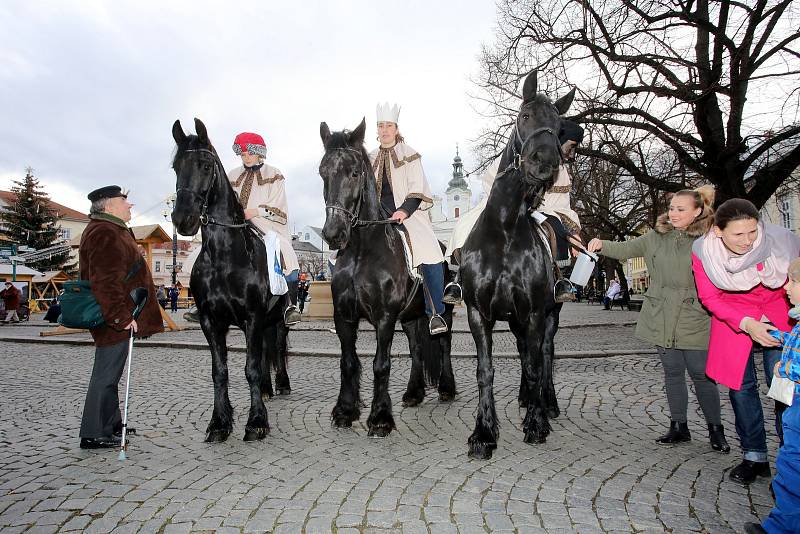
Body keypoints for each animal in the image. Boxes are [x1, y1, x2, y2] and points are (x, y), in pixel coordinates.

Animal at [170, 119, 292, 446]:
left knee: (277, 348)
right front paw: (219, 423)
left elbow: (250, 368)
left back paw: (281, 384)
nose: (182, 219)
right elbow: (220, 371)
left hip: (276, 319)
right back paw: (266, 389)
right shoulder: (212, 321)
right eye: (176, 166)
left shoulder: (252, 318)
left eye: (205, 165)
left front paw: (256, 422)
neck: (225, 256)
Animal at [318, 119, 456, 438]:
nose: (333, 234)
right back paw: (414, 393)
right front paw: (345, 410)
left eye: (354, 172)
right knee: (417, 348)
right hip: (411, 316)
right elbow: (348, 361)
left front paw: (380, 417)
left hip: (443, 311)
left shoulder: (384, 317)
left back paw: (446, 388)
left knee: (443, 343)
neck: (362, 249)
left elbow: (381, 364)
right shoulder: (344, 316)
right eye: (322, 172)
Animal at [462, 71, 576, 460]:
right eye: (525, 116)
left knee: (544, 354)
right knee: (528, 352)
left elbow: (538, 363)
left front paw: (537, 423)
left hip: (551, 313)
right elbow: (485, 370)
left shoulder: (536, 312)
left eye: (558, 126)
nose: (544, 161)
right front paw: (483, 432)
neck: (505, 228)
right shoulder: (479, 313)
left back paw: (545, 404)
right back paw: (527, 398)